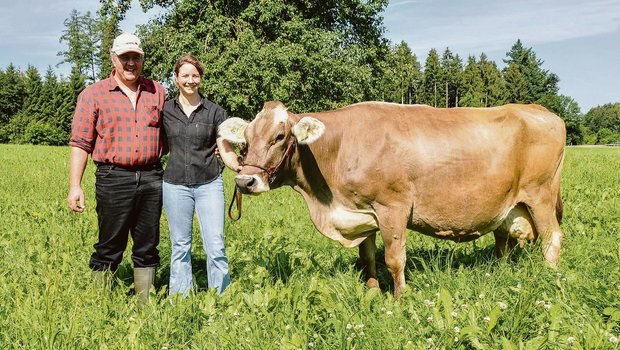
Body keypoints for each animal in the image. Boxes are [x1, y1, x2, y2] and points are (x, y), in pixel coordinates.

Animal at [219, 102, 568, 298]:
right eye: (246, 139)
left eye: (280, 137)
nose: (245, 181)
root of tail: (541, 111)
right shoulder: (363, 214)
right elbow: (368, 258)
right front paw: (372, 292)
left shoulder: (393, 208)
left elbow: (394, 259)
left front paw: (400, 299)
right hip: (508, 205)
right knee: (503, 242)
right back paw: (497, 274)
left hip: (540, 195)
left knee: (552, 238)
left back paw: (548, 277)